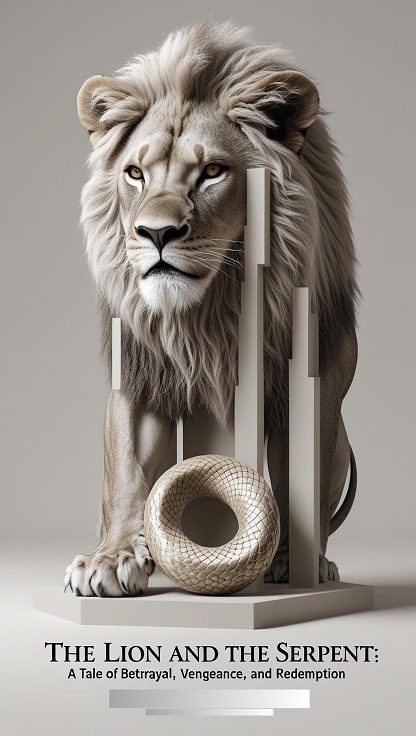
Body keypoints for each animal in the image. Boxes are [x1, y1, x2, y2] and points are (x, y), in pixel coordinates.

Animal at [65, 21, 358, 596]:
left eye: (213, 172)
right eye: (135, 173)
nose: (155, 233)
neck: (208, 314)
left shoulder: (310, 376)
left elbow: (297, 472)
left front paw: (293, 560)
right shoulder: (142, 370)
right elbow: (125, 470)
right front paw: (111, 559)